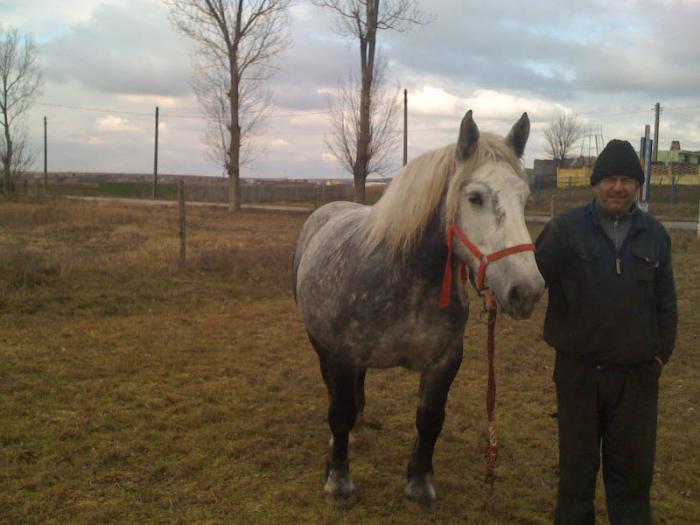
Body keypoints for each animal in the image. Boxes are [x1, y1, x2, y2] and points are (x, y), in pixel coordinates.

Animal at [292, 108, 544, 506]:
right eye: (475, 197)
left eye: (524, 198)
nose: (527, 290)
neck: (407, 277)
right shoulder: (342, 356)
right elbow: (340, 412)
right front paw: (338, 480)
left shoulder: (445, 362)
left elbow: (430, 418)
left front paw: (419, 483)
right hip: (320, 346)